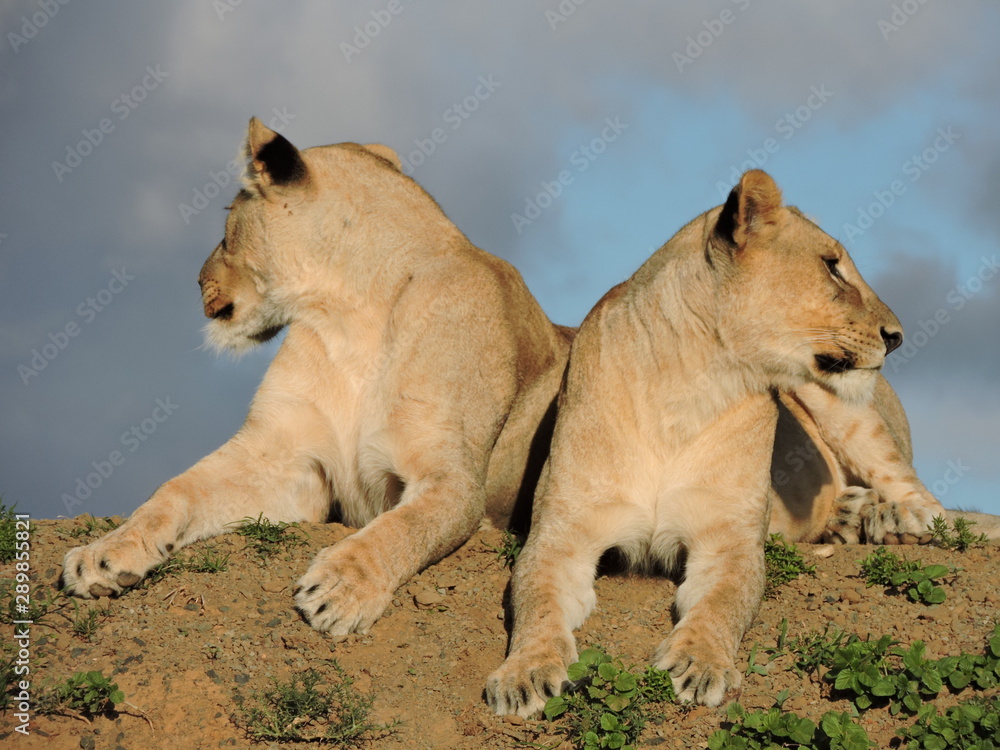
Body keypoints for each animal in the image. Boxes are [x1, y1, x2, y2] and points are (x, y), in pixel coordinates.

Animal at [61, 118, 572, 636]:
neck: (350, 316)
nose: (198, 278)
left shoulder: (451, 477)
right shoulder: (286, 461)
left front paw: (342, 588)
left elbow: (403, 527)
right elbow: (176, 489)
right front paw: (104, 553)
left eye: (228, 220)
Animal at [485, 169, 996, 718]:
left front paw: (698, 664)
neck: (686, 387)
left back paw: (895, 524)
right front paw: (524, 673)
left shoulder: (728, 541)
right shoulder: (561, 535)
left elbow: (721, 606)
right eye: (832, 267)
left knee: (935, 507)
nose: (897, 336)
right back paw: (847, 518)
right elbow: (536, 600)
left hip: (843, 409)